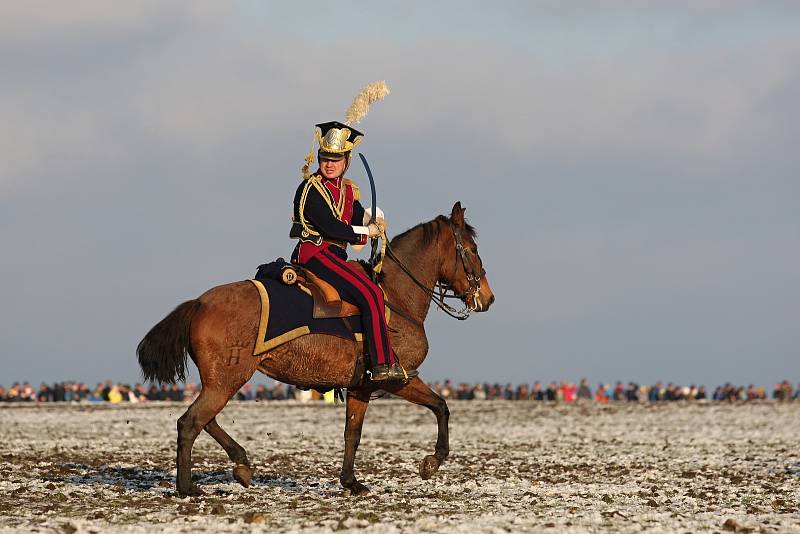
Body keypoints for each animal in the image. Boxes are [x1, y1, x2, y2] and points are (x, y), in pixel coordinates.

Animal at [138, 202, 496, 498]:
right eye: (473, 249)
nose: (487, 298)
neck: (396, 297)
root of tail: (199, 303)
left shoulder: (361, 387)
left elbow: (353, 433)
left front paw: (351, 482)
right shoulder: (400, 378)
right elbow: (441, 407)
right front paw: (432, 461)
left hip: (221, 381)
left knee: (205, 420)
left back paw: (241, 465)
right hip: (227, 380)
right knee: (190, 423)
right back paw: (188, 488)